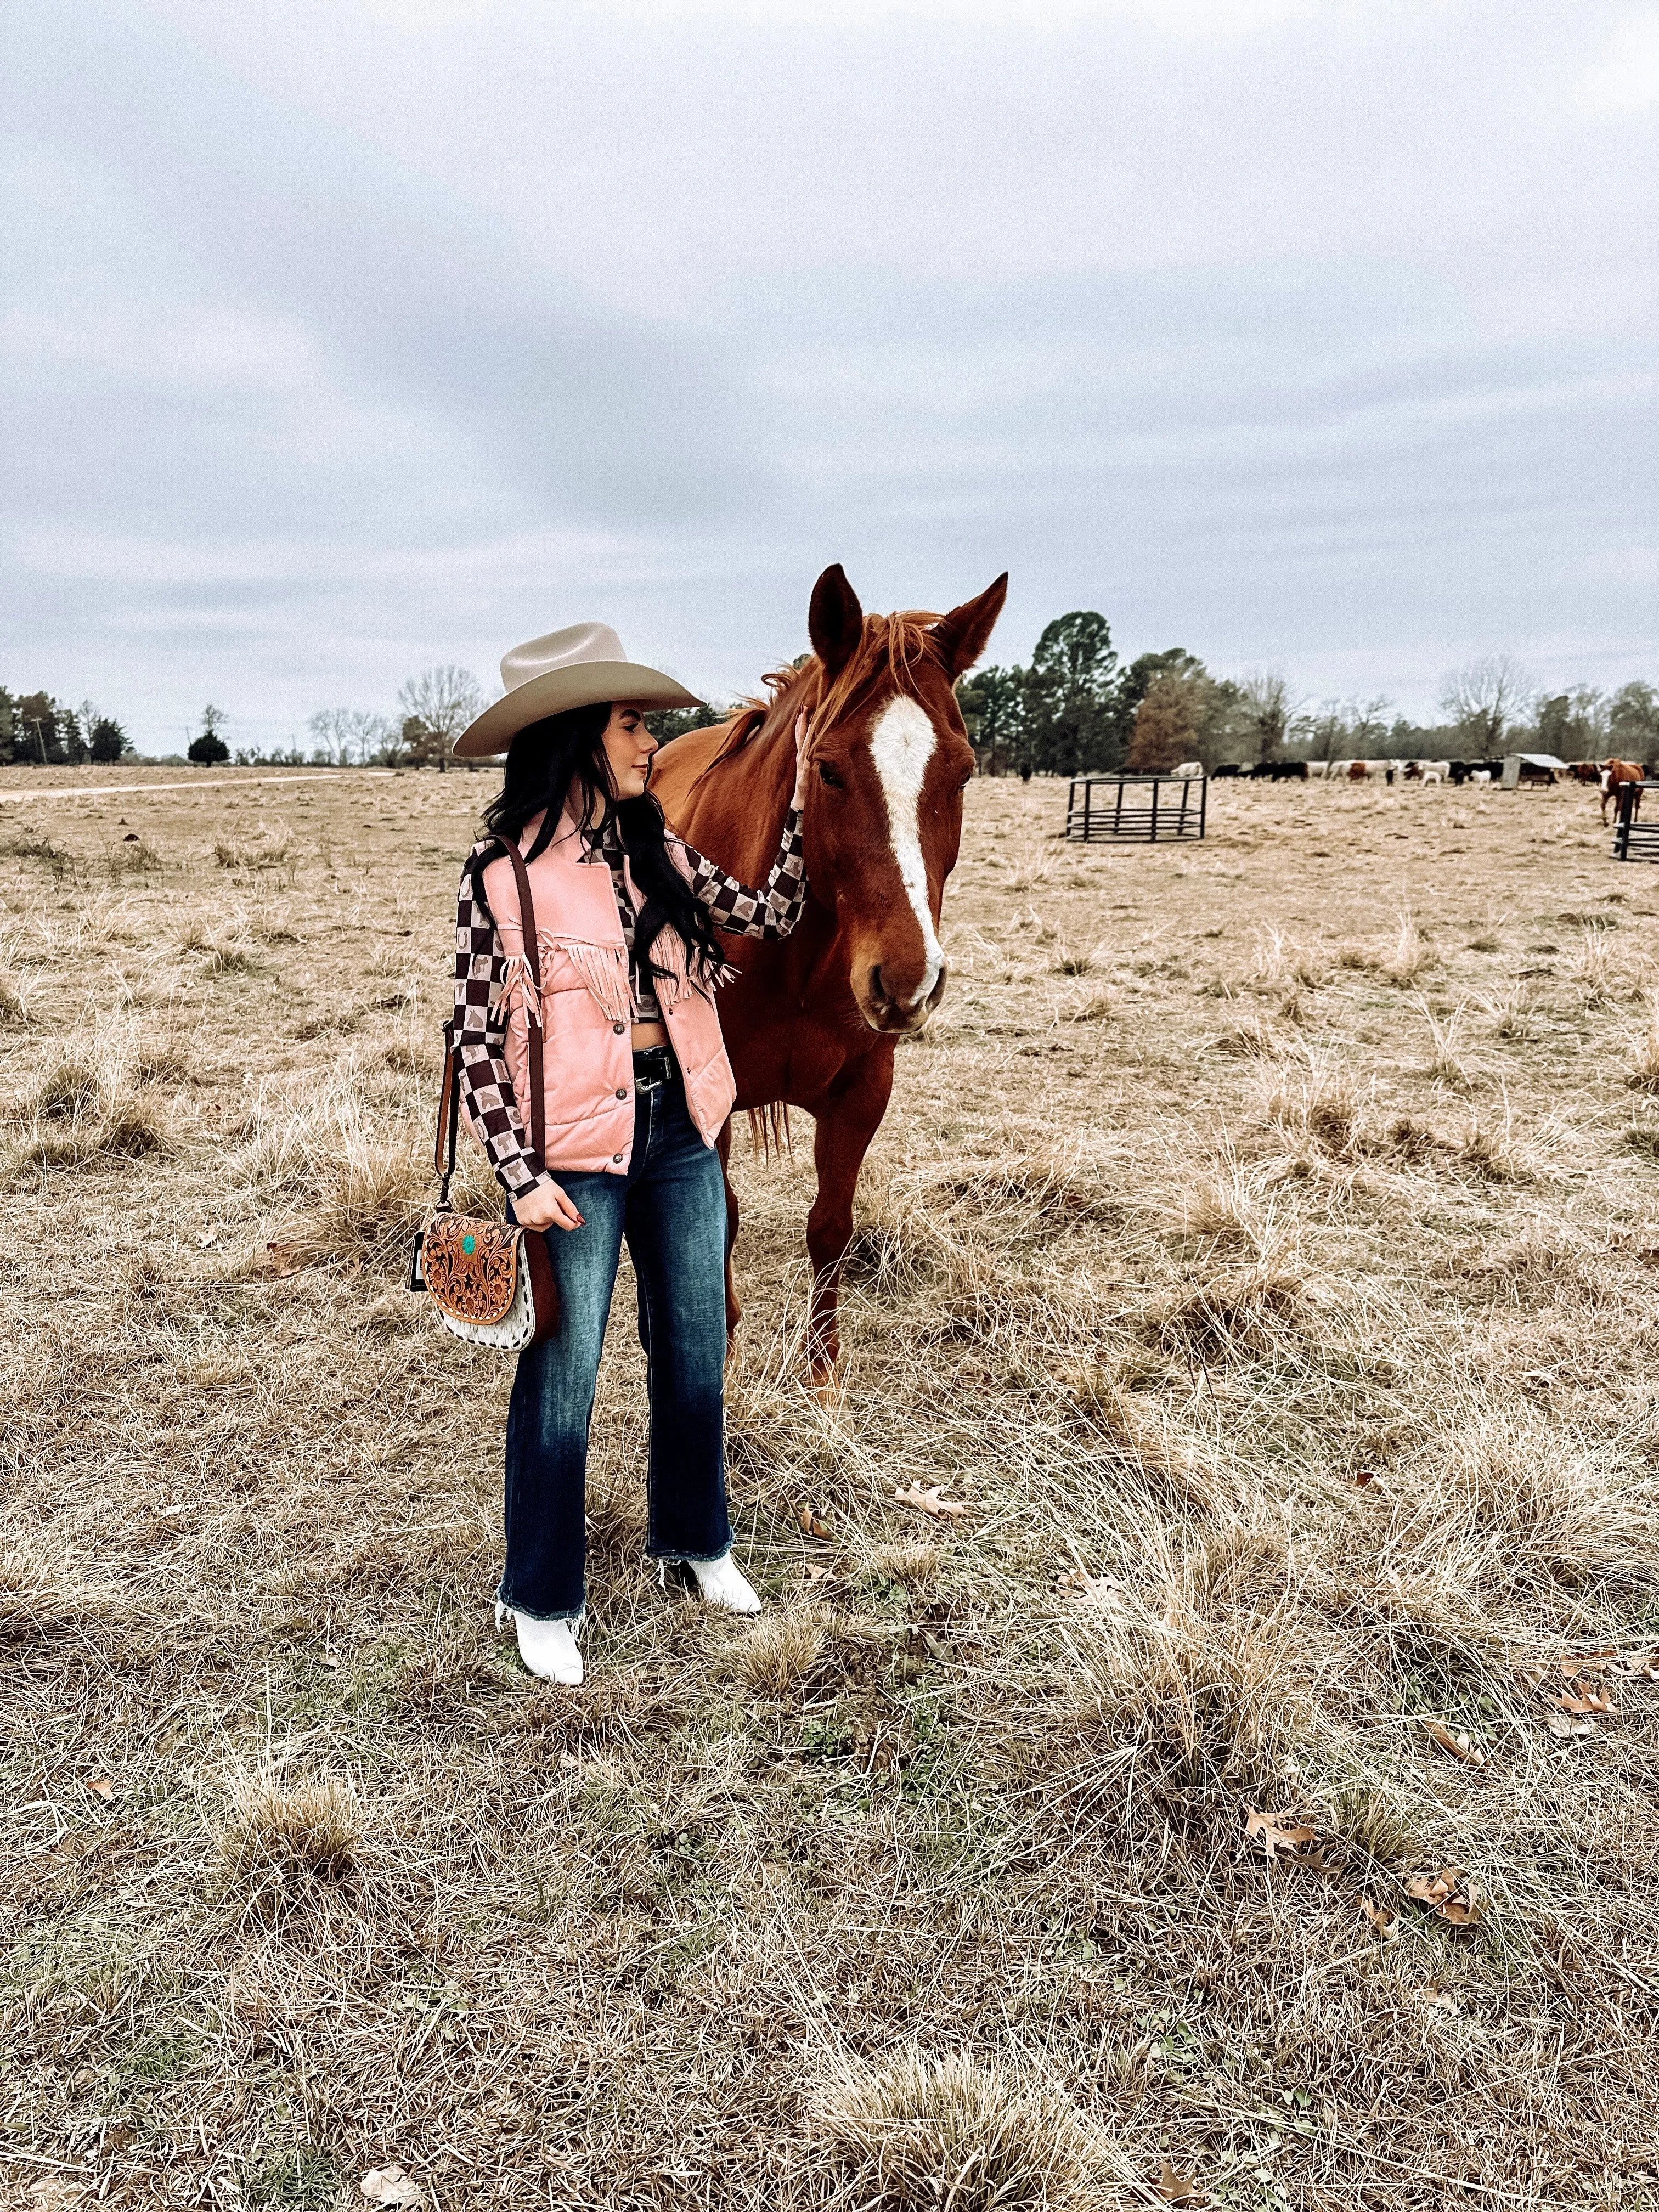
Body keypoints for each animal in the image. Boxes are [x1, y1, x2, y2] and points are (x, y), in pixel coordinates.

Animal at [654, 562, 1008, 1371]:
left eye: (964, 774)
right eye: (827, 770)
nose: (908, 982)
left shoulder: (862, 1093)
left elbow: (831, 1229)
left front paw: (822, 1374)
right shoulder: (710, 1096)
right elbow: (722, 1220)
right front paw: (722, 1350)